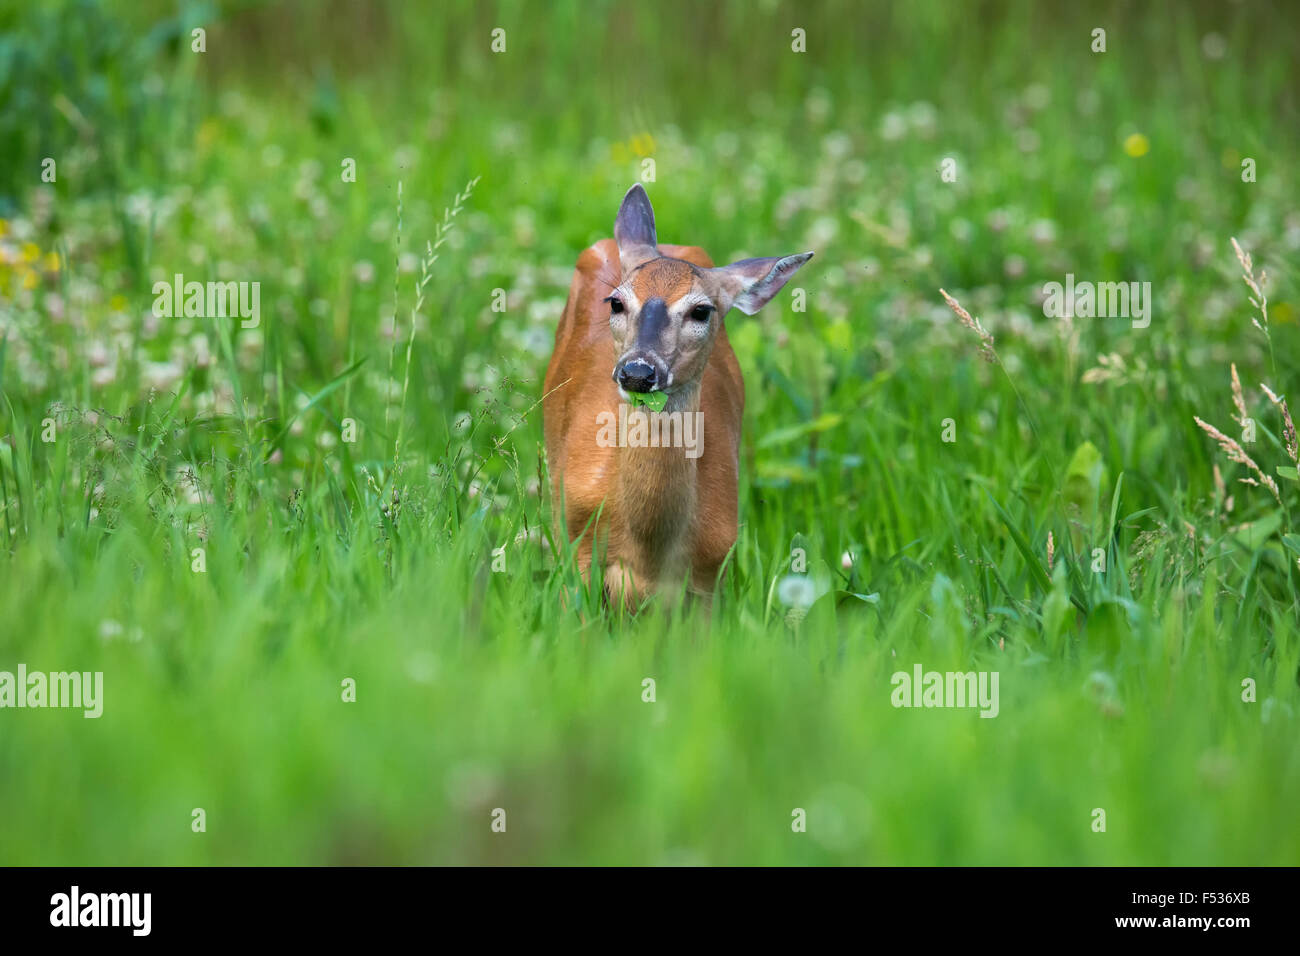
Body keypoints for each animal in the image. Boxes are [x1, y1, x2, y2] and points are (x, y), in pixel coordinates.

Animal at [540, 183, 811, 608]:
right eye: (616, 302)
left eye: (701, 311)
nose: (637, 371)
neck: (647, 553)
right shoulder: (575, 553)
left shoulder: (712, 573)